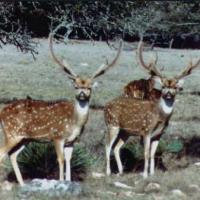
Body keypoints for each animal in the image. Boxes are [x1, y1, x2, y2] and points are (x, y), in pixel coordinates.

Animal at [0, 33, 122, 185]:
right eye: (76, 86)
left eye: (89, 87)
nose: (82, 93)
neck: (75, 123)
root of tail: (1, 112)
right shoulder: (57, 136)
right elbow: (61, 159)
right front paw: (61, 181)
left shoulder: (72, 141)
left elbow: (69, 160)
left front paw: (68, 181)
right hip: (11, 133)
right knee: (2, 153)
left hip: (24, 138)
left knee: (12, 155)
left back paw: (22, 184)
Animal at [104, 41, 200, 178]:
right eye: (163, 86)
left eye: (175, 87)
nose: (168, 93)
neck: (159, 117)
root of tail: (106, 106)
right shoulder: (146, 131)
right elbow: (145, 153)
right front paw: (144, 174)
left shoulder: (158, 134)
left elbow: (152, 154)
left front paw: (152, 173)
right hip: (112, 124)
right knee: (107, 146)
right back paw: (108, 172)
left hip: (125, 132)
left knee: (116, 147)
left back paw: (121, 171)